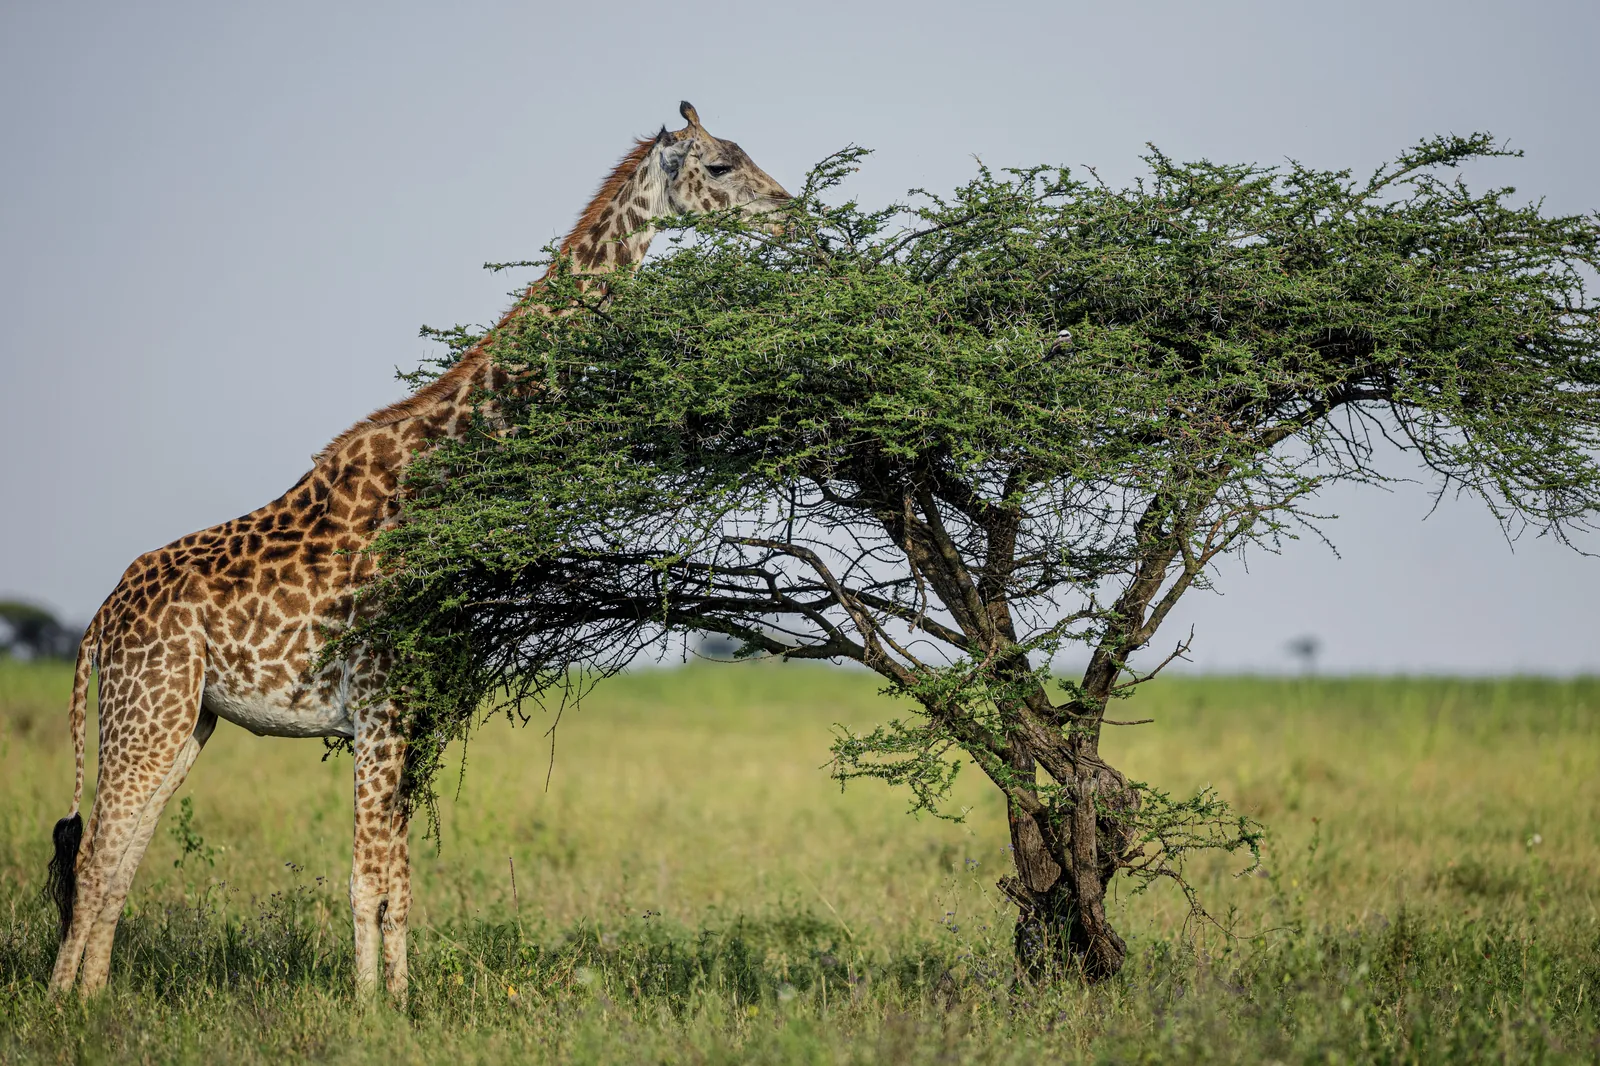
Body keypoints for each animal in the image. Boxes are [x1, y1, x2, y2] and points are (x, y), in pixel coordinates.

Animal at [44, 102, 789, 1002]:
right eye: (719, 166)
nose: (791, 211)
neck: (435, 471)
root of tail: (98, 620)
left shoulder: (411, 708)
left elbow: (398, 880)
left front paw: (402, 1003)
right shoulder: (379, 703)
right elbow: (367, 877)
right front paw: (369, 1010)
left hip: (186, 719)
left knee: (120, 859)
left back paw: (93, 997)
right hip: (146, 709)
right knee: (95, 855)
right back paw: (63, 1006)